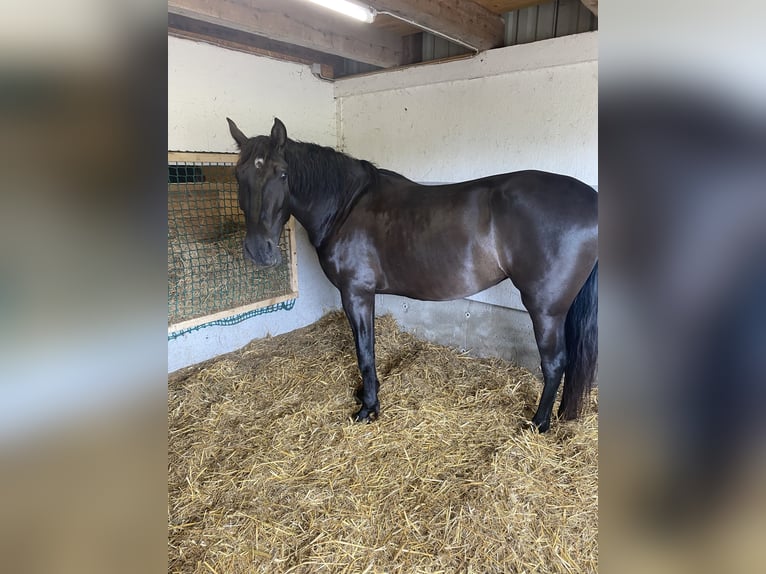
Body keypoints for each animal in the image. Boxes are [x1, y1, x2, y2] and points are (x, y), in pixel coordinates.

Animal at [227, 117, 598, 432]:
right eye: (238, 175)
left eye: (282, 174)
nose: (258, 251)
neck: (346, 206)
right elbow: (367, 347)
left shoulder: (356, 292)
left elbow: (364, 350)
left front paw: (368, 407)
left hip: (545, 309)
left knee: (555, 363)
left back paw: (538, 424)